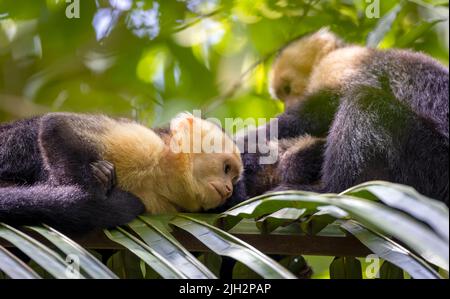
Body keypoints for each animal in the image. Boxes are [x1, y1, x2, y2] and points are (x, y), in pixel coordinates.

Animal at [0, 112, 243, 234]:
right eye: (226, 168)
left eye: (233, 178)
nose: (229, 189)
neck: (160, 177)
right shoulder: (143, 143)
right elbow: (55, 125)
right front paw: (90, 199)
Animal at [230, 28, 448, 206]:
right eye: (283, 96)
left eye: (288, 89)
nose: (287, 105)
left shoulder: (338, 62)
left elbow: (320, 110)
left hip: (433, 163)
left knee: (363, 101)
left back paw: (329, 192)